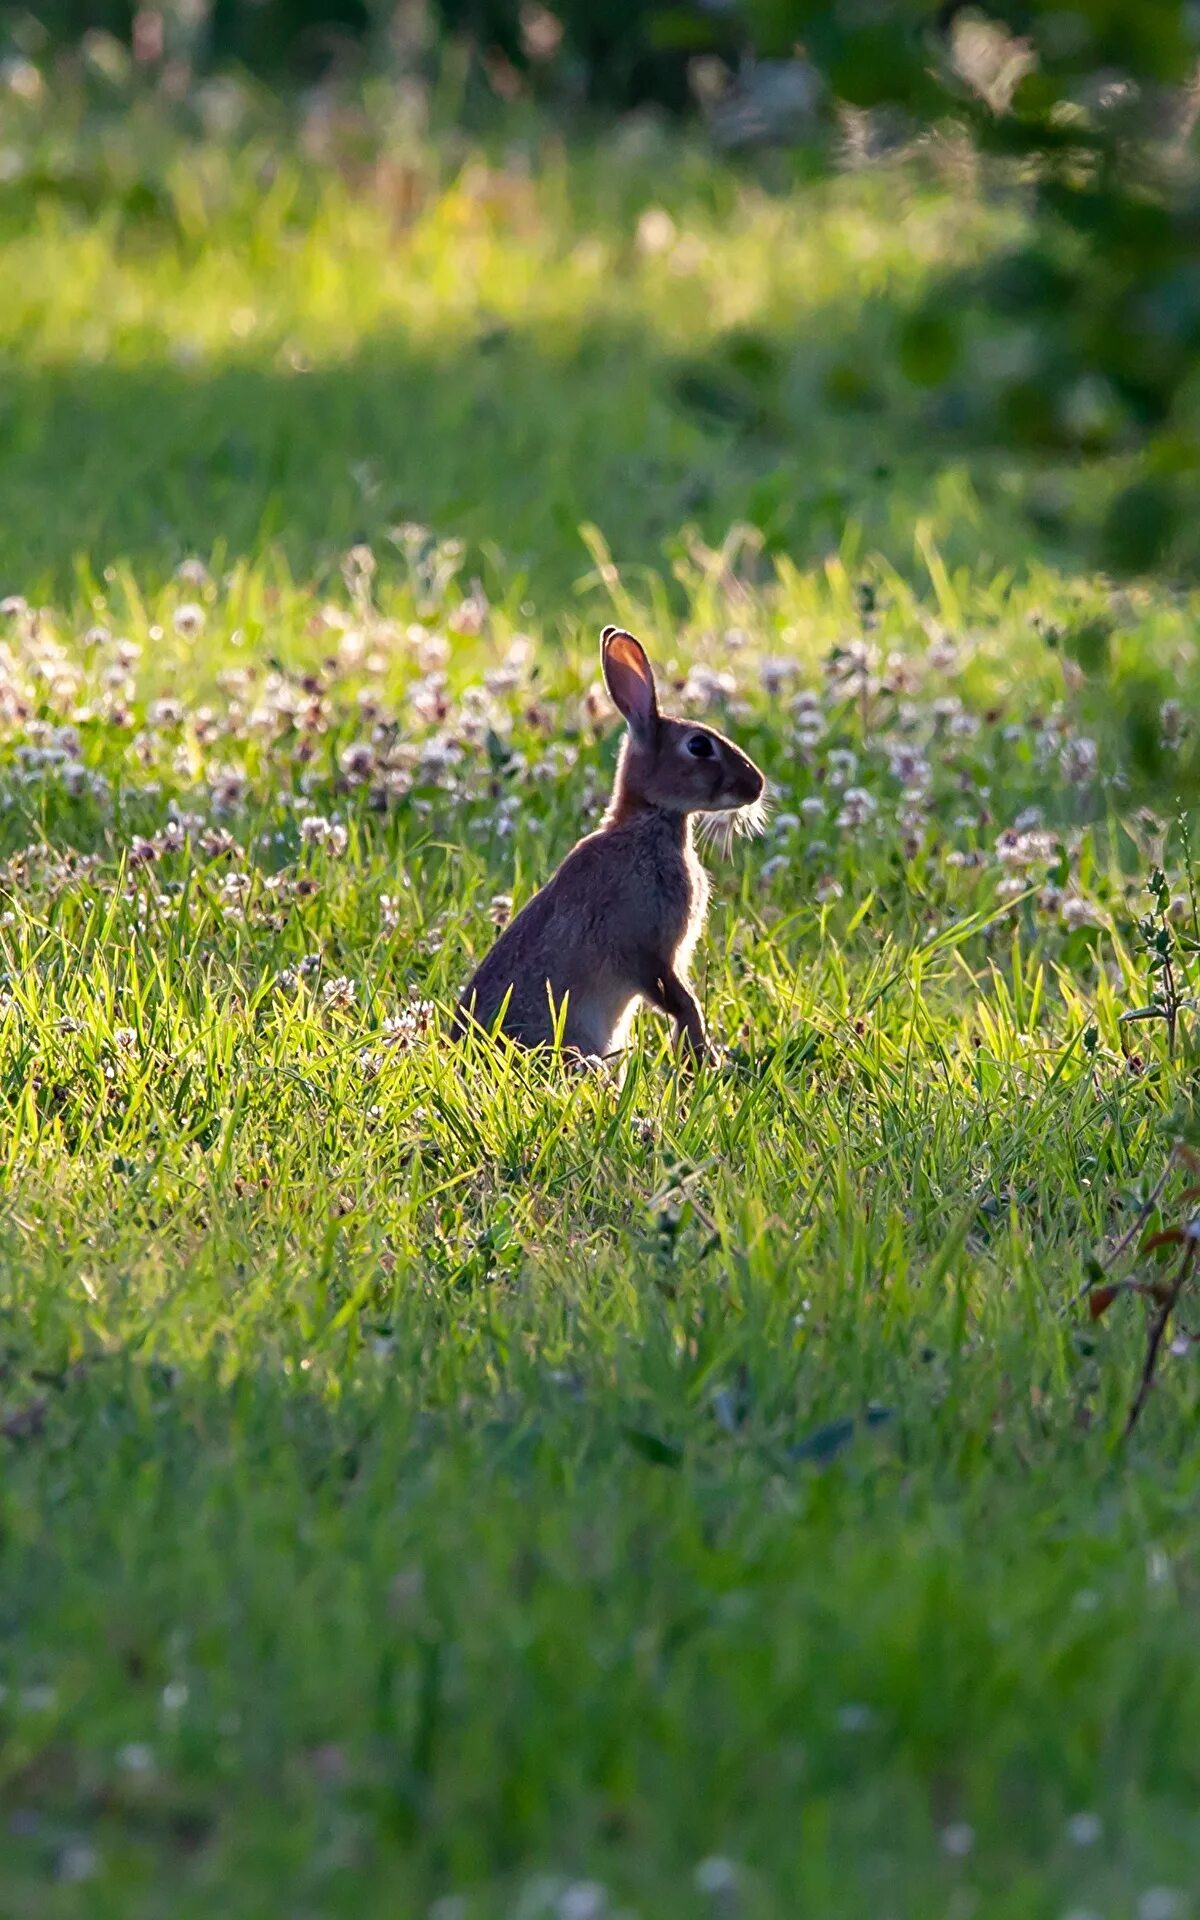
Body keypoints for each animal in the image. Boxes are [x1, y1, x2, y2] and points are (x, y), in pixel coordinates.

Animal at [453, 625, 764, 1067]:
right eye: (699, 746)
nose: (757, 785)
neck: (647, 821)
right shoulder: (645, 948)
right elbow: (681, 1001)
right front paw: (699, 1056)